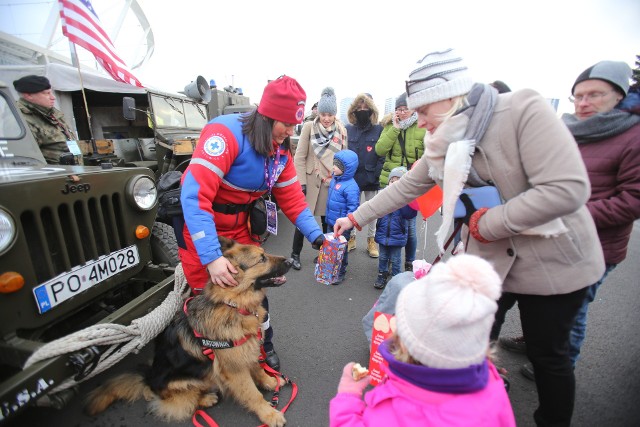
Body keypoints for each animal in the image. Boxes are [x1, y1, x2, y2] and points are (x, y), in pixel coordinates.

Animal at [85, 237, 292, 427]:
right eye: (262, 259)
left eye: (264, 253)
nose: (291, 261)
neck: (233, 304)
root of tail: (148, 377)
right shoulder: (235, 369)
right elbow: (252, 393)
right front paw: (269, 414)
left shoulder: (247, 350)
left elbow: (257, 367)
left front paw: (270, 381)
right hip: (186, 382)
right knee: (181, 402)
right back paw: (206, 399)